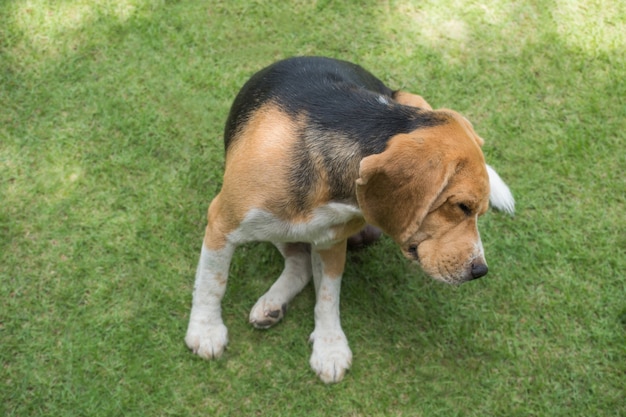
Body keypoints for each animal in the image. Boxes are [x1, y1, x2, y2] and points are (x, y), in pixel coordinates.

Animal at [183, 56, 516, 384]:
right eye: (461, 206)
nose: (480, 271)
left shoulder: (331, 243)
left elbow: (328, 296)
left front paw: (329, 348)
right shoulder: (222, 223)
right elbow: (213, 281)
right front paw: (205, 329)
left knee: (302, 263)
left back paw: (273, 303)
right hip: (274, 225)